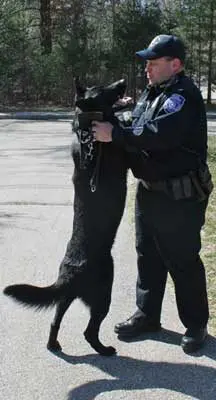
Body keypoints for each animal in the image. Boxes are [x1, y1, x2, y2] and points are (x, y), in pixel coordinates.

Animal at [3, 78, 128, 356]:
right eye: (104, 90)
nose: (123, 82)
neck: (88, 132)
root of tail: (69, 276)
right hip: (104, 294)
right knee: (89, 331)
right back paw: (104, 349)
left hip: (65, 299)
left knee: (54, 320)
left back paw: (53, 344)